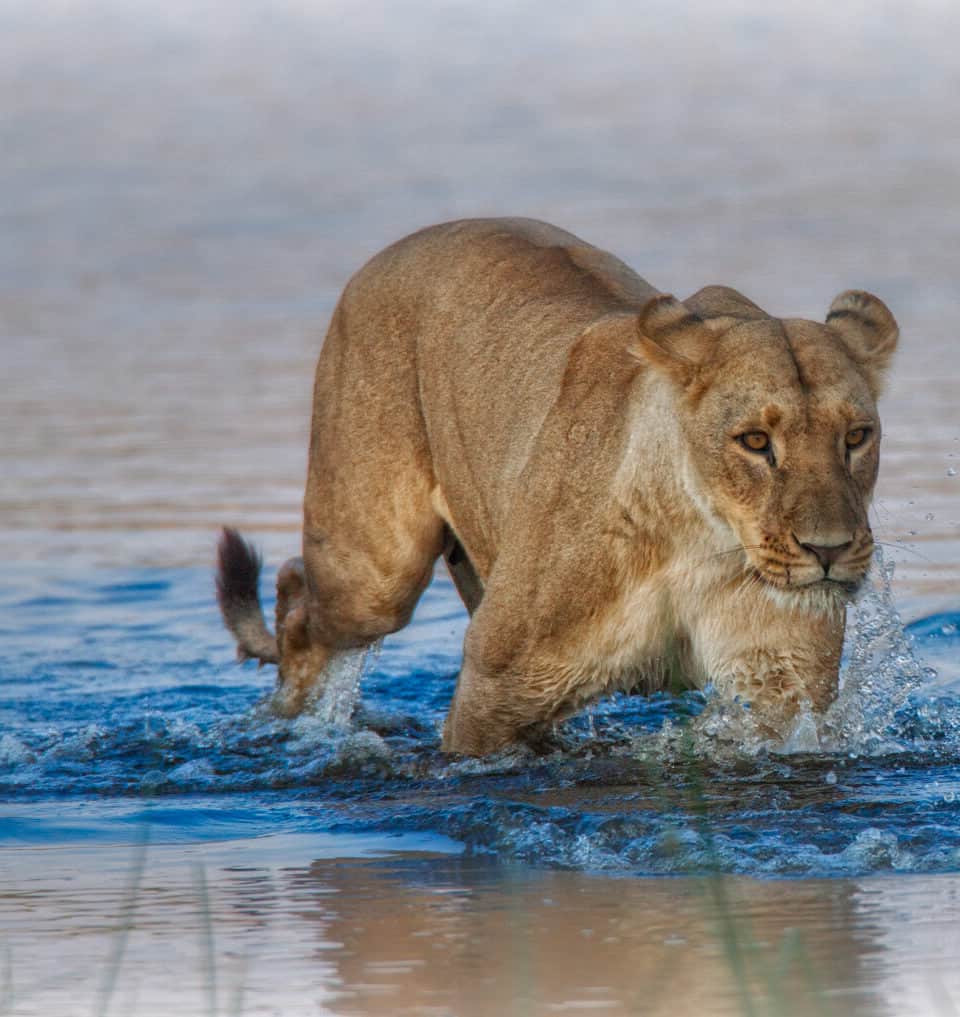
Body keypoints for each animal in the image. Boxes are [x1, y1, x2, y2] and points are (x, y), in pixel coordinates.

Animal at [216, 218, 898, 756]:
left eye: (856, 436)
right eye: (755, 441)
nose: (829, 551)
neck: (698, 541)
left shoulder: (780, 688)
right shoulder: (495, 685)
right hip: (376, 575)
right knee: (297, 596)